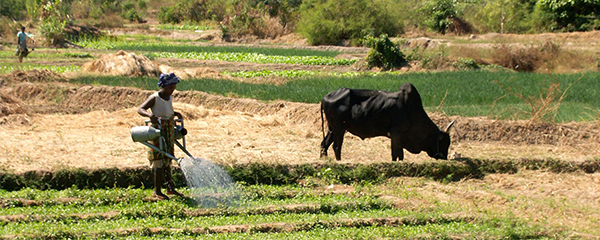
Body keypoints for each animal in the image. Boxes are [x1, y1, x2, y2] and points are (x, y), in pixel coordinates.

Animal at [318, 82, 454, 161]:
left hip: (332, 129)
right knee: (336, 146)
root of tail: (325, 97)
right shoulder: (396, 134)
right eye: (444, 143)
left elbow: (400, 155)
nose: (444, 158)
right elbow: (395, 154)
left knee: (324, 144)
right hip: (339, 128)